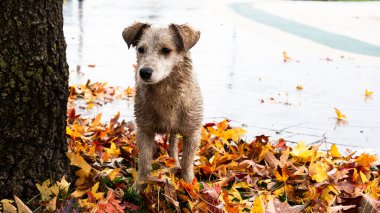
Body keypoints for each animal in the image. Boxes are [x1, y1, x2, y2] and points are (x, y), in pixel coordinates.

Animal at [123, 22, 203, 190]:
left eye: (166, 50)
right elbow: (144, 164)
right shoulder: (144, 131)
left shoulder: (192, 133)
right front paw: (138, 187)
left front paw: (189, 186)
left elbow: (187, 163)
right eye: (141, 49)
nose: (144, 72)